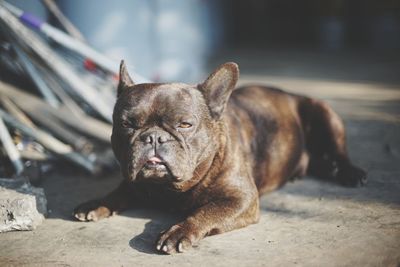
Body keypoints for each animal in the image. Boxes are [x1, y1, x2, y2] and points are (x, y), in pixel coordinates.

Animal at [73, 61, 368, 255]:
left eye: (185, 125)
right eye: (127, 124)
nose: (154, 137)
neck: (169, 188)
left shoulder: (241, 199)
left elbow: (205, 212)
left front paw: (179, 231)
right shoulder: (134, 182)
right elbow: (118, 192)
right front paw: (98, 203)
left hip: (325, 113)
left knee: (339, 152)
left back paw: (349, 172)